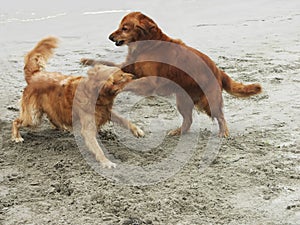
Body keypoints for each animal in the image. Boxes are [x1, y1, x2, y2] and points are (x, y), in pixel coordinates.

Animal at [11, 37, 144, 168]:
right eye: (121, 76)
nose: (133, 76)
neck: (95, 94)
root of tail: (35, 75)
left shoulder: (106, 111)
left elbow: (124, 120)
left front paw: (137, 130)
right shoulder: (88, 128)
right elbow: (98, 148)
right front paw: (106, 162)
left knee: (52, 117)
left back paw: (62, 127)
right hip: (33, 117)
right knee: (16, 121)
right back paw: (17, 137)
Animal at [81, 11, 262, 137]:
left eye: (124, 28)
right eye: (120, 27)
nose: (110, 37)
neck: (147, 45)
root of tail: (218, 70)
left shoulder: (149, 82)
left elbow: (130, 82)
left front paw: (117, 86)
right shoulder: (128, 67)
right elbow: (108, 63)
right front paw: (88, 61)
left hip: (208, 101)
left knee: (220, 116)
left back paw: (223, 132)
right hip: (183, 100)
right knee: (188, 120)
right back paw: (178, 131)